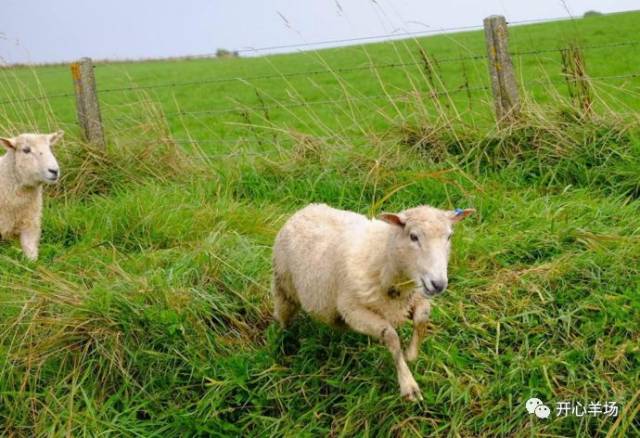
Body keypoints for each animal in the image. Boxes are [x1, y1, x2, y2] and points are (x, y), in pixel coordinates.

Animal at [272, 202, 472, 400]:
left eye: (449, 236)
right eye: (413, 236)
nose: (438, 284)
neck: (382, 256)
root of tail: (305, 209)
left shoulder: (415, 296)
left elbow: (422, 317)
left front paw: (411, 354)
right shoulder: (352, 310)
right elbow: (391, 336)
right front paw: (408, 383)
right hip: (284, 287)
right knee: (284, 317)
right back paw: (285, 341)